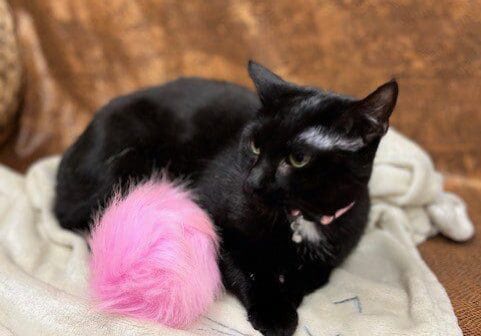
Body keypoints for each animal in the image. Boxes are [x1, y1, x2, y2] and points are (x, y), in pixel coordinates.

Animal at [54, 61, 396, 336]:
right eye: (255, 146)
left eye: (298, 159)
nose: (251, 182)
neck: (302, 220)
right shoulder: (218, 223)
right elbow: (247, 268)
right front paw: (275, 313)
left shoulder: (338, 243)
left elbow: (315, 274)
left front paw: (290, 292)